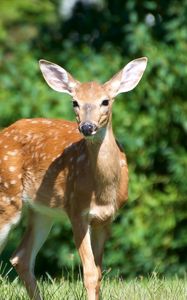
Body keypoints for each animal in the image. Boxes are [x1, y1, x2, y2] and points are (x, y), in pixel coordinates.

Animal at [0, 55, 148, 298]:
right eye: (74, 102)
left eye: (105, 101)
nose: (87, 127)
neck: (102, 191)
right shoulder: (76, 210)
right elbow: (89, 273)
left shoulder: (106, 218)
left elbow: (98, 273)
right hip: (7, 197)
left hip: (42, 211)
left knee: (21, 257)